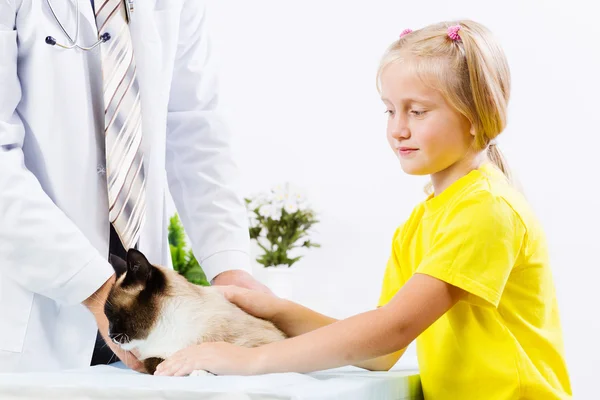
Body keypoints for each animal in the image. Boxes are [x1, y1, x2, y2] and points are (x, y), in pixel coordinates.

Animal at [105, 247, 286, 376]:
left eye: (115, 316)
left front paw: (200, 371)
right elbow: (156, 364)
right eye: (108, 317)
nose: (110, 336)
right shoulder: (153, 359)